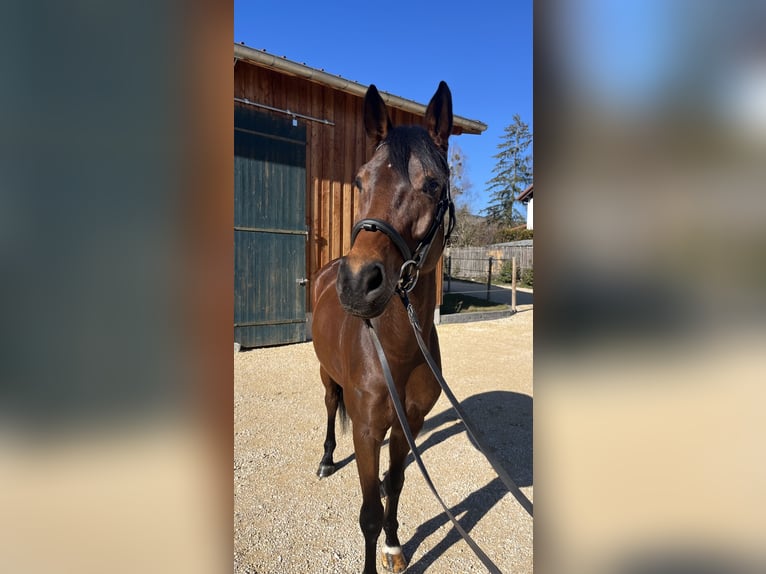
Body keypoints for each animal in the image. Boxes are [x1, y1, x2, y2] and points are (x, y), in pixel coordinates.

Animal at [311, 81, 454, 574]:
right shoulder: (369, 432)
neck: (396, 351)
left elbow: (395, 486)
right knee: (331, 406)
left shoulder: (407, 425)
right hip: (327, 375)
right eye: (359, 181)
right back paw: (326, 459)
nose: (357, 283)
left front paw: (394, 546)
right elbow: (369, 513)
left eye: (433, 185)